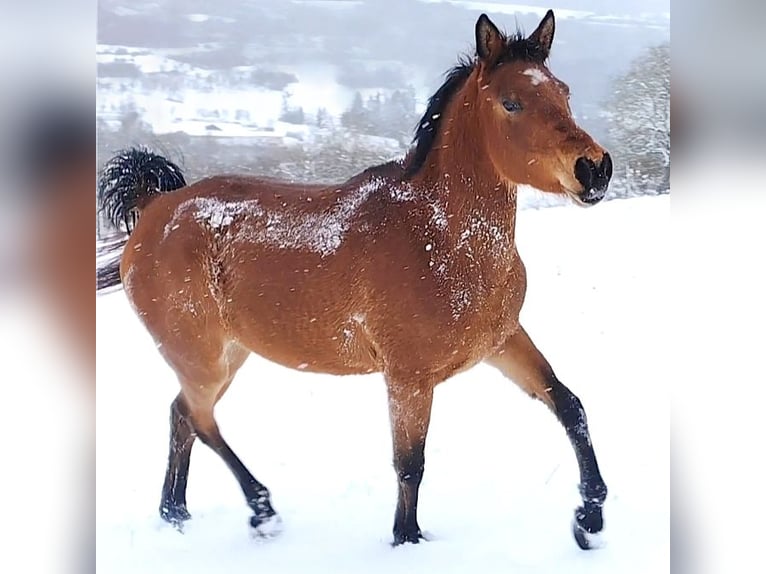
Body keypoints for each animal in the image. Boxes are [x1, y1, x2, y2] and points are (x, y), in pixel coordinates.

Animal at [96, 10, 612, 550]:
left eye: (564, 91)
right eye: (511, 102)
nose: (595, 169)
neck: (441, 240)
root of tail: (154, 207)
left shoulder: (503, 341)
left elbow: (569, 405)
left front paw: (590, 518)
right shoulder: (408, 377)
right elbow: (410, 463)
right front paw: (406, 538)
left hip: (227, 355)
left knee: (182, 417)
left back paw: (176, 512)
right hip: (202, 357)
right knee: (199, 420)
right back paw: (261, 510)